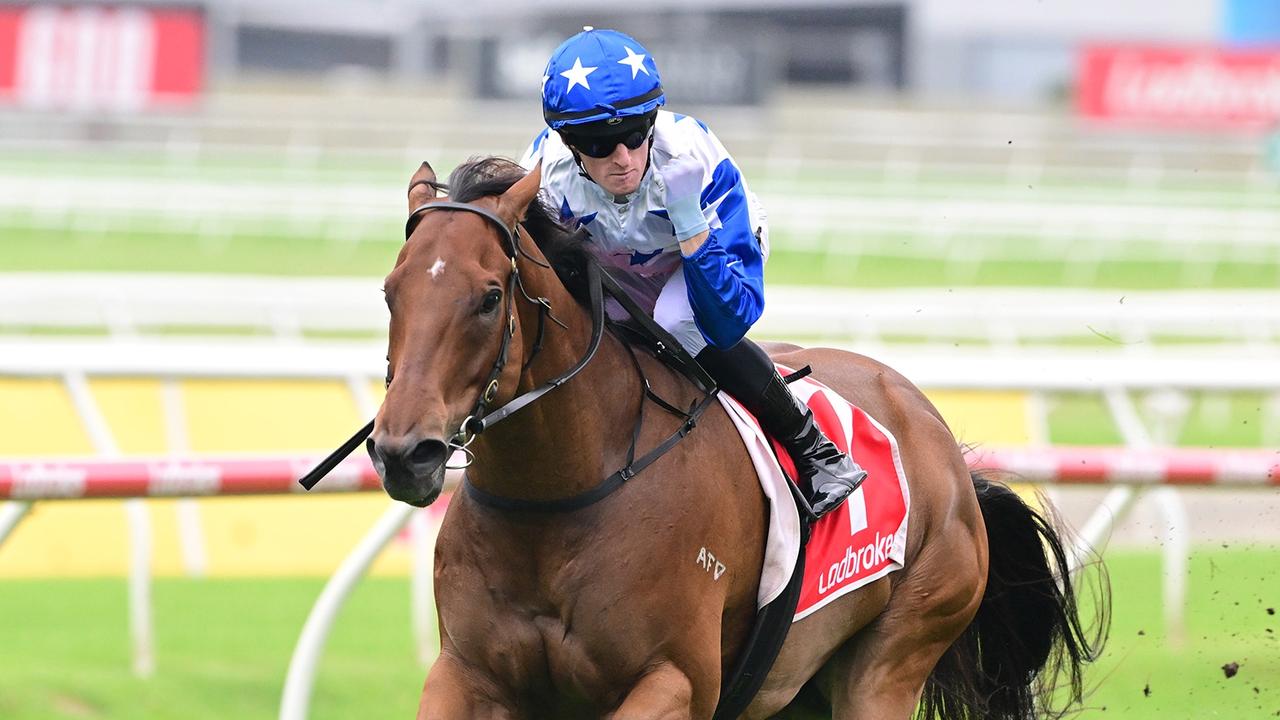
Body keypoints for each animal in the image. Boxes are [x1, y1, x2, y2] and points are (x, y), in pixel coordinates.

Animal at [363, 156, 1100, 717]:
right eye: (391, 291)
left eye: (490, 297)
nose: (404, 453)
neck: (558, 496)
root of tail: (939, 440)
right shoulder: (467, 673)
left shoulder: (677, 679)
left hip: (895, 653)